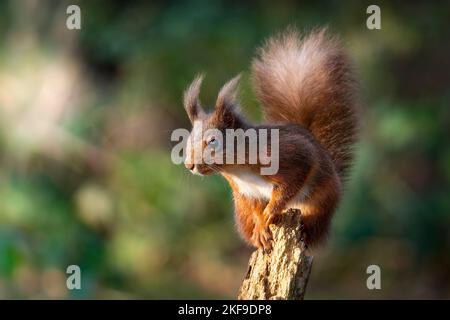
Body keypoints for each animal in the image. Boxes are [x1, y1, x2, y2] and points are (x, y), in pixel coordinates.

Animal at [182, 27, 358, 251]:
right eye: (188, 141)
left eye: (212, 141)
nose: (189, 165)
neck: (237, 168)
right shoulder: (246, 191)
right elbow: (256, 207)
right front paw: (261, 226)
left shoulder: (290, 156)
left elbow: (288, 187)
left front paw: (269, 214)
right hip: (241, 213)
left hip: (321, 201)